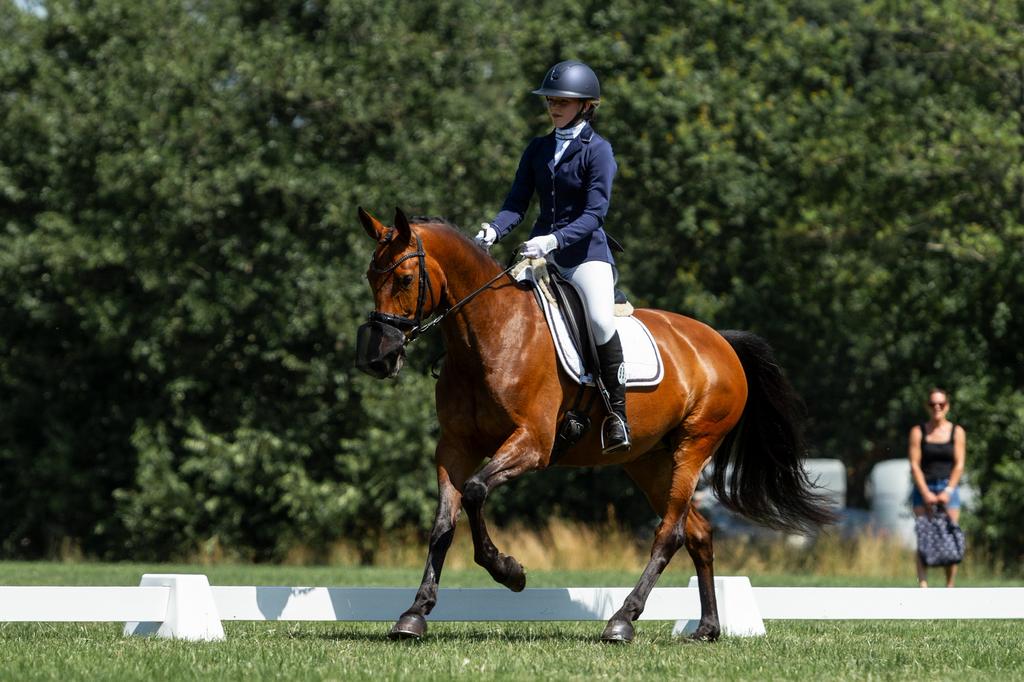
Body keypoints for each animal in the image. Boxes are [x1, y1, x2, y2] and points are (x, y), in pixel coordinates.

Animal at [355, 207, 833, 643]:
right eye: (370, 277)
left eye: (403, 279)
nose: (379, 358)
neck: (490, 333)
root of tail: (720, 341)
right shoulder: (455, 447)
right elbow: (443, 522)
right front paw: (415, 613)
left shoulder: (532, 444)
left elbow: (473, 493)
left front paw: (510, 571)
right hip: (649, 461)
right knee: (698, 532)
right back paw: (707, 628)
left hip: (694, 447)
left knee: (670, 533)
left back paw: (622, 621)